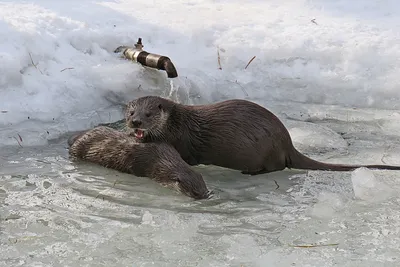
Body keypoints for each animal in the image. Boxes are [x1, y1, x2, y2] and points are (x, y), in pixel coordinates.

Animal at [124, 96, 400, 176]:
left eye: (148, 113)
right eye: (130, 110)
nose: (135, 121)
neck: (177, 123)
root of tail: (287, 142)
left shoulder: (182, 140)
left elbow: (185, 156)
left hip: (266, 152)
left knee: (275, 167)